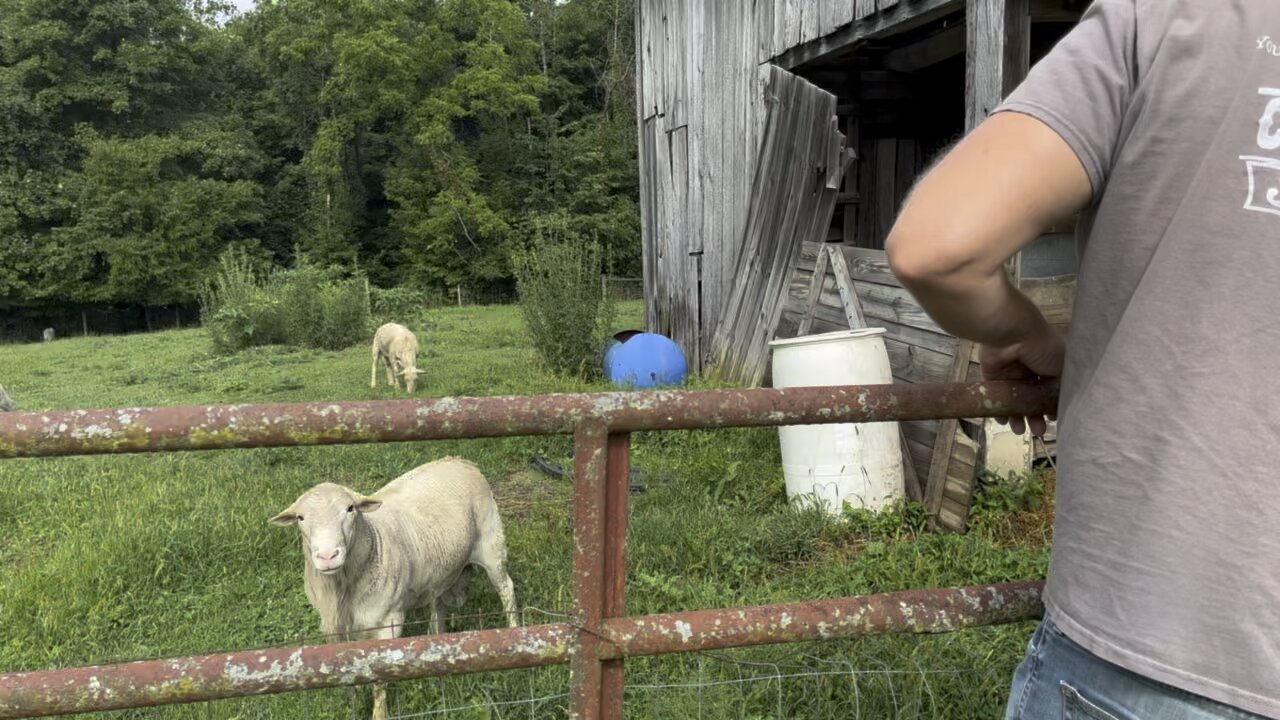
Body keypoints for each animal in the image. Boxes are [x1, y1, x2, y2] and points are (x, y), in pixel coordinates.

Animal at [271, 453, 519, 717]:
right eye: (300, 518)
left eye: (350, 509)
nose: (328, 556)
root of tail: (459, 460)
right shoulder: (332, 626)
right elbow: (343, 673)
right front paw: (352, 705)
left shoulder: (389, 621)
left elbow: (380, 678)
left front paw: (379, 714)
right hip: (442, 568)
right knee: (439, 605)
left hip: (492, 545)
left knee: (506, 588)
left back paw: (515, 634)